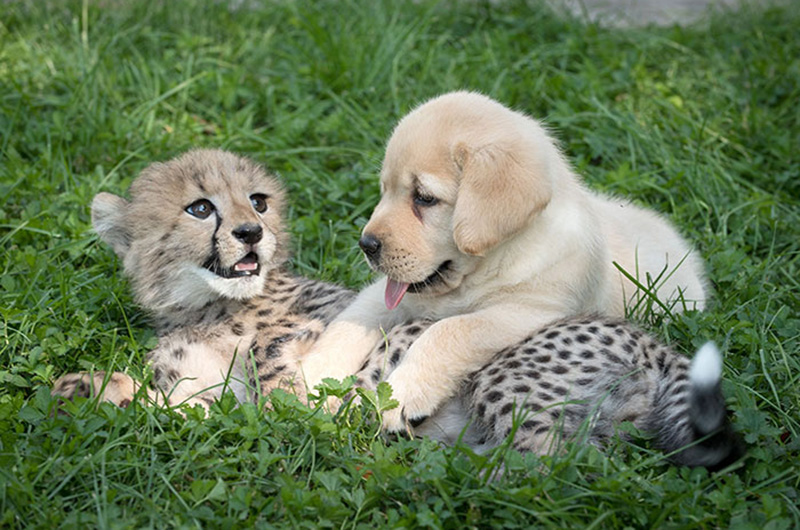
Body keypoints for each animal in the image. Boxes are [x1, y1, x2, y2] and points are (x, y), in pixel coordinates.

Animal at [302, 91, 708, 428]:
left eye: (424, 198)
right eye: (384, 190)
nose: (366, 244)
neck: (487, 266)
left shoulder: (529, 312)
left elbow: (449, 331)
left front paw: (404, 392)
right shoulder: (392, 293)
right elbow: (351, 321)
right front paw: (310, 375)